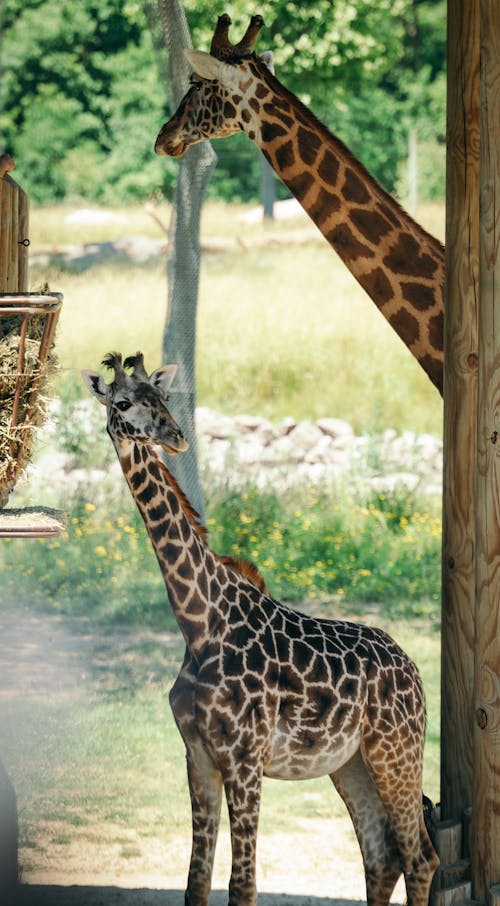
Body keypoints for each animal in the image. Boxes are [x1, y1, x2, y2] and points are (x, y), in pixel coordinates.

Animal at [82, 350, 438, 904]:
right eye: (121, 403)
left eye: (161, 396)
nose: (175, 436)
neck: (198, 623)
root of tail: (415, 670)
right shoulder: (198, 756)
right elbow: (196, 882)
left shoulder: (245, 758)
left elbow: (243, 883)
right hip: (351, 763)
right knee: (382, 858)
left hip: (397, 750)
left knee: (419, 855)